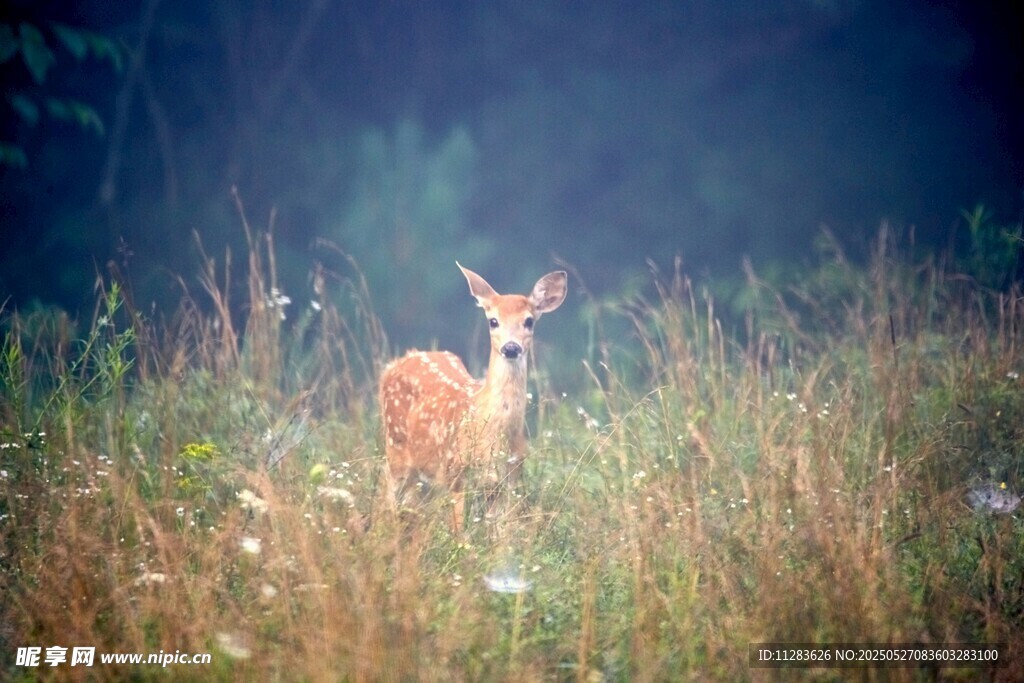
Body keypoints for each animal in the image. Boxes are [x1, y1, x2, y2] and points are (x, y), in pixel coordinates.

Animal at [379, 263, 568, 531]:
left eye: (529, 321)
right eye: (493, 321)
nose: (511, 348)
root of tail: (395, 363)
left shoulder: (507, 481)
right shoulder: (455, 474)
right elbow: (460, 533)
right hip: (396, 448)